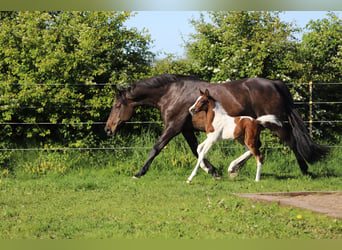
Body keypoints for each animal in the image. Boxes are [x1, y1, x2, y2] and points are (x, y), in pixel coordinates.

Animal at [105, 73, 328, 178]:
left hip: (275, 124)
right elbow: (196, 150)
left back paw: (305, 170)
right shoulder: (186, 129)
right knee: (257, 147)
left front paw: (139, 173)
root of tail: (275, 83)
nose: (108, 129)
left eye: (117, 105)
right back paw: (234, 168)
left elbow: (156, 148)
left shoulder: (174, 126)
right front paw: (212, 171)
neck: (172, 93)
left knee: (290, 142)